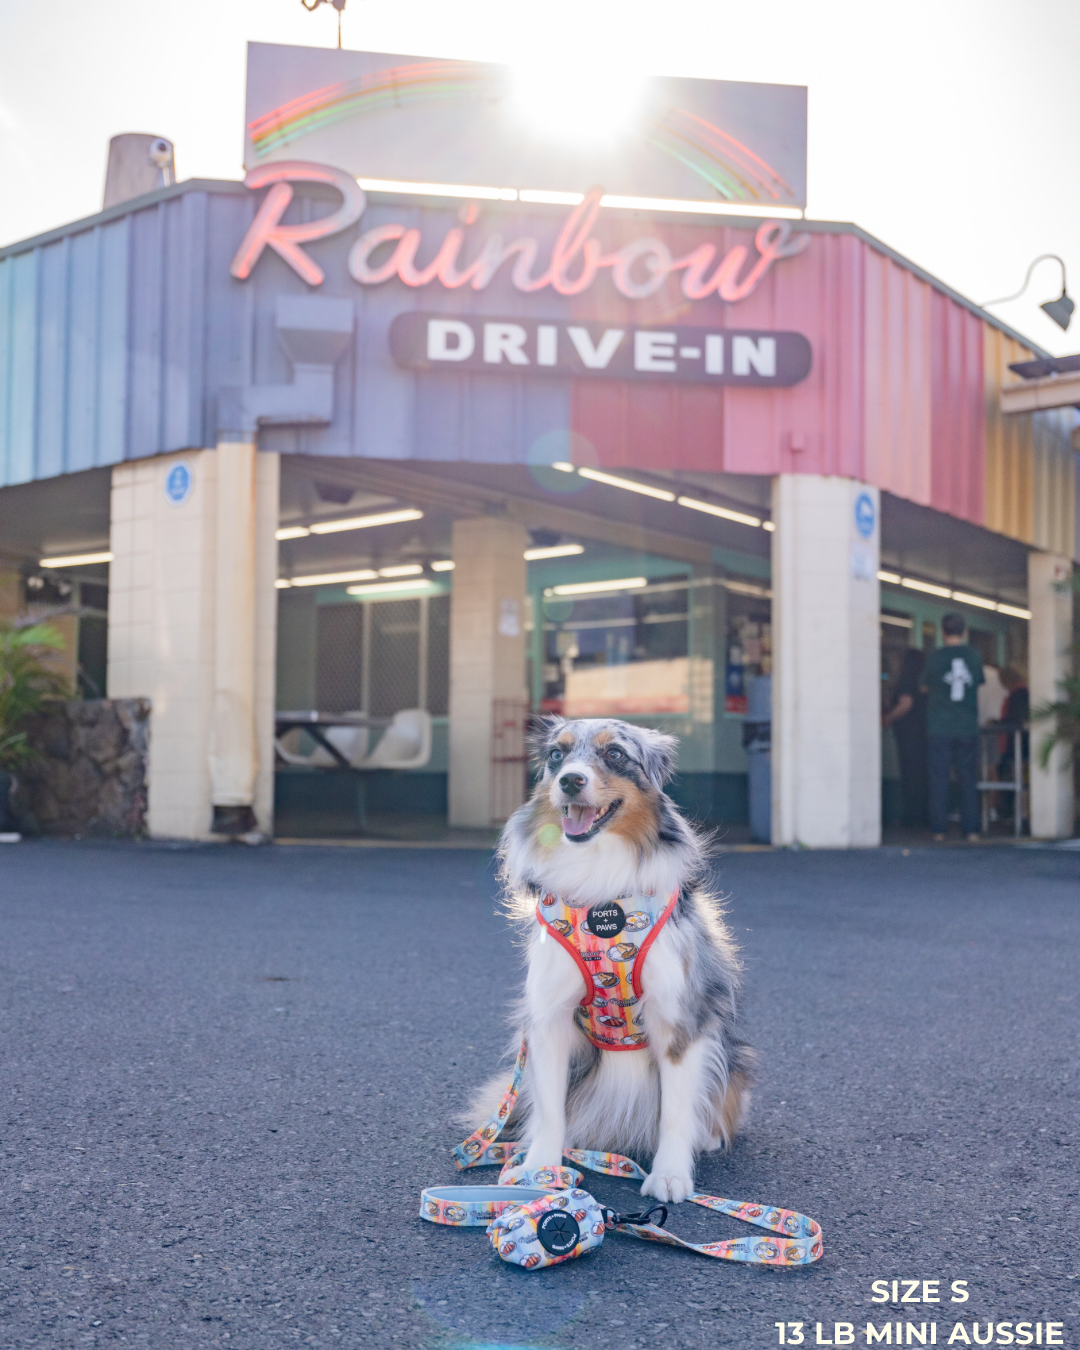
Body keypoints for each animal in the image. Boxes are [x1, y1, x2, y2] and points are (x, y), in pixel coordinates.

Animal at [467, 718, 756, 1204]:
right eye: (556, 755)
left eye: (616, 754)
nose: (570, 781)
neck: (600, 886)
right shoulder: (548, 1016)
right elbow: (550, 1109)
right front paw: (540, 1169)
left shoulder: (679, 1016)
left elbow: (677, 1110)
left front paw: (670, 1175)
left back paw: (710, 1134)